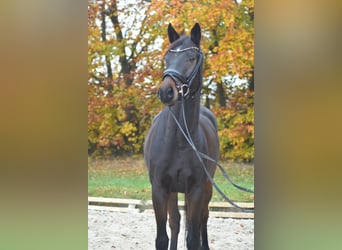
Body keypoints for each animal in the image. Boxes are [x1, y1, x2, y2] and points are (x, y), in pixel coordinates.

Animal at [144, 22, 219, 249]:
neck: (178, 139)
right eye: (166, 57)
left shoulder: (196, 189)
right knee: (176, 221)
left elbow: (193, 237)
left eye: (191, 58)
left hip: (207, 187)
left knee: (203, 217)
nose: (166, 92)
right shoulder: (160, 189)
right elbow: (163, 235)